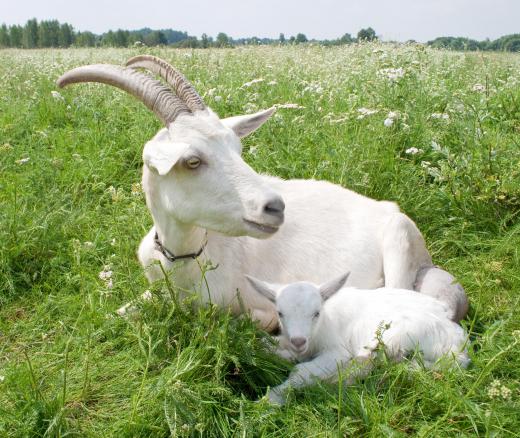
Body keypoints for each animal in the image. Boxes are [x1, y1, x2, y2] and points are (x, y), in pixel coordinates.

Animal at [57, 54, 468, 328]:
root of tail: (389, 208)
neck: (186, 260)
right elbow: (116, 313)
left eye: (237, 149)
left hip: (399, 241)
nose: (274, 207)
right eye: (192, 161)